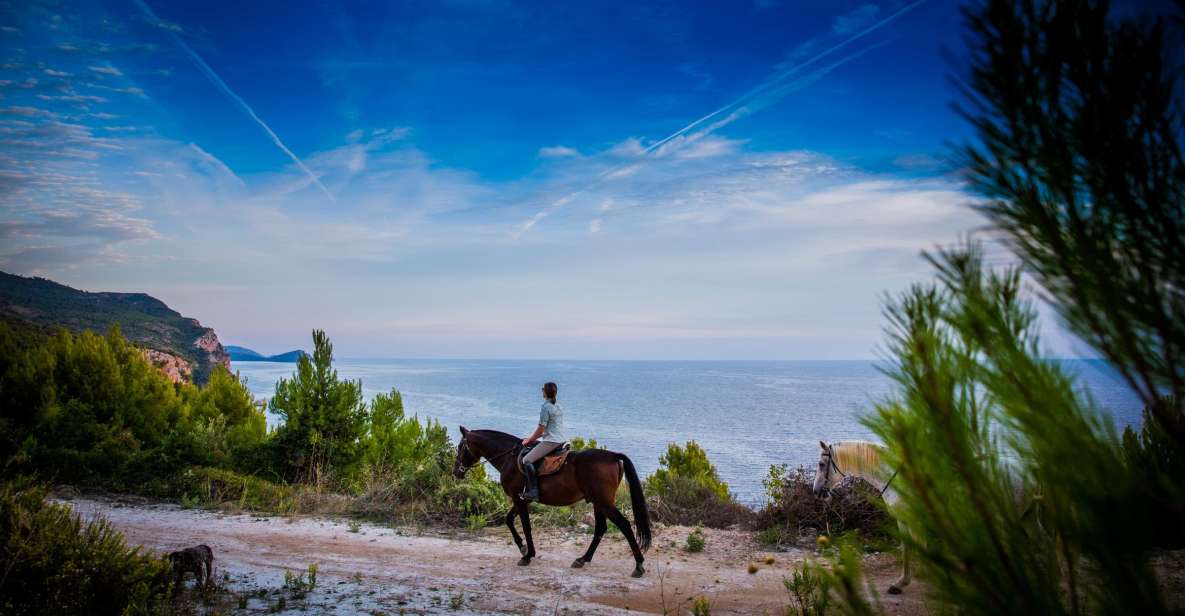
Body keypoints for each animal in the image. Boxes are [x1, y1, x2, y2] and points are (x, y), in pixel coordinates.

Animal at [452, 426, 658, 575]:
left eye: (461, 447)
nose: (456, 472)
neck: (509, 457)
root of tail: (613, 456)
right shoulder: (522, 500)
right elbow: (509, 520)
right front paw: (523, 548)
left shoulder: (519, 499)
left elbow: (525, 526)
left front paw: (527, 555)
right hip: (598, 502)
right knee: (600, 528)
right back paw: (582, 559)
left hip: (604, 502)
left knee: (624, 525)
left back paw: (639, 565)